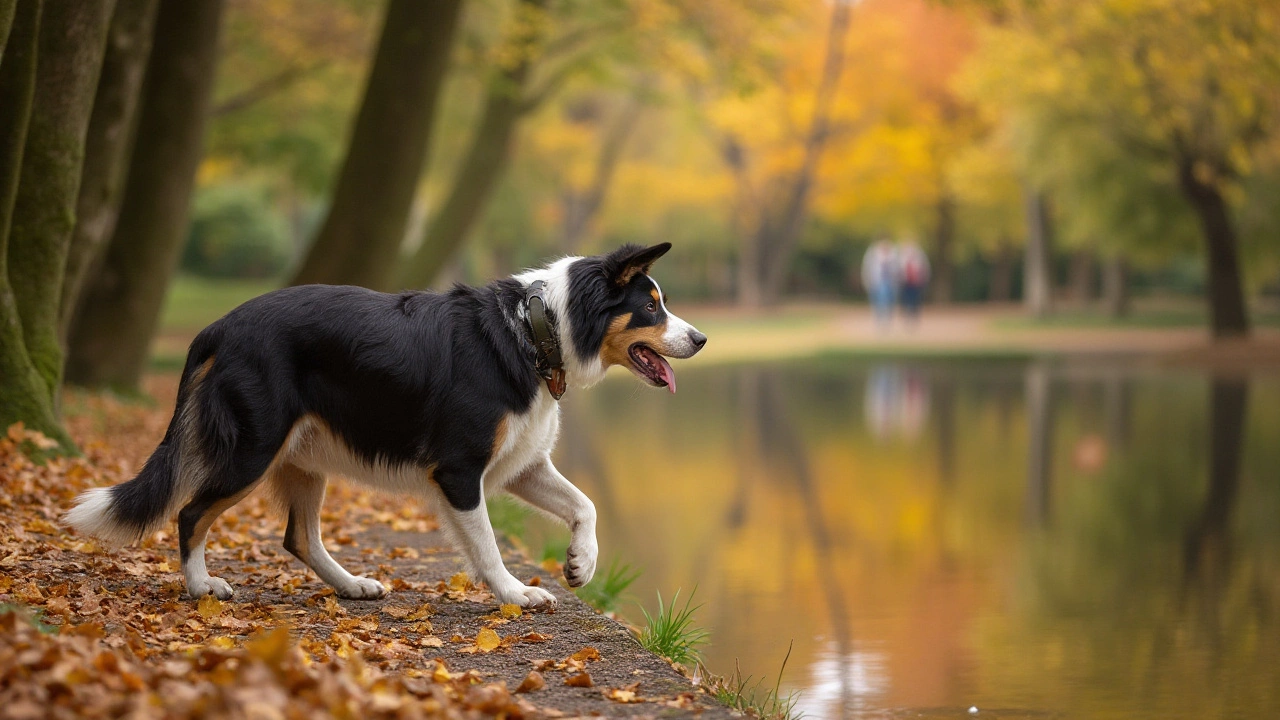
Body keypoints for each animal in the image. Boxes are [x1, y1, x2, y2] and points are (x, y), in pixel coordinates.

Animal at [64, 242, 706, 604]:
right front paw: (515, 593)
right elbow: (487, 545)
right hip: (253, 449)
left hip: (303, 458)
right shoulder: (460, 469)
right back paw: (201, 587)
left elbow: (585, 505)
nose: (701, 338)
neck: (533, 329)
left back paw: (351, 585)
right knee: (191, 513)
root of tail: (221, 325)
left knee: (298, 537)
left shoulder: (522, 464)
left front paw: (581, 563)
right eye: (652, 307)